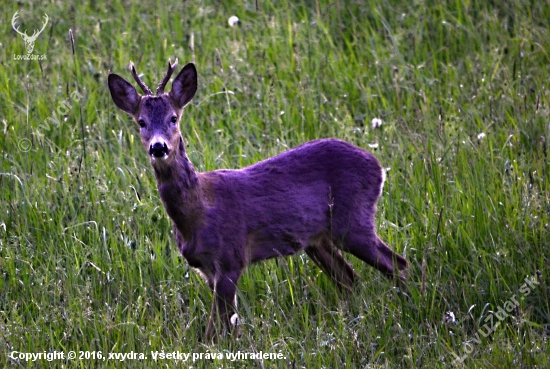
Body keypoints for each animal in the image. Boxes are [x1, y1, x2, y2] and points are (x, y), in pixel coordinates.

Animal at [108, 59, 410, 340]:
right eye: (141, 122)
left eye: (173, 118)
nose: (158, 147)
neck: (198, 211)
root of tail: (378, 167)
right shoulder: (207, 269)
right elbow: (227, 325)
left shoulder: (231, 258)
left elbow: (216, 330)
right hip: (317, 239)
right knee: (350, 279)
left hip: (353, 220)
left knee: (397, 263)